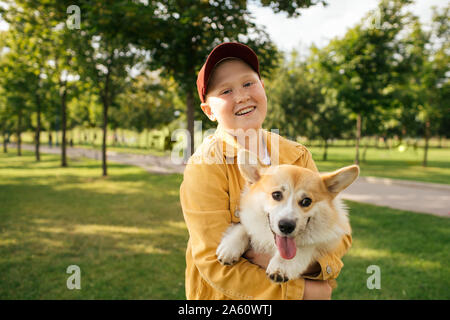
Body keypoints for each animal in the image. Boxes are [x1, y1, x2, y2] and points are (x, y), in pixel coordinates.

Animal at [216, 150, 360, 282]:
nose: (286, 226)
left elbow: (307, 245)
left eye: (306, 201)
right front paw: (230, 246)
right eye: (276, 195)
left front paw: (281, 266)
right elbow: (244, 228)